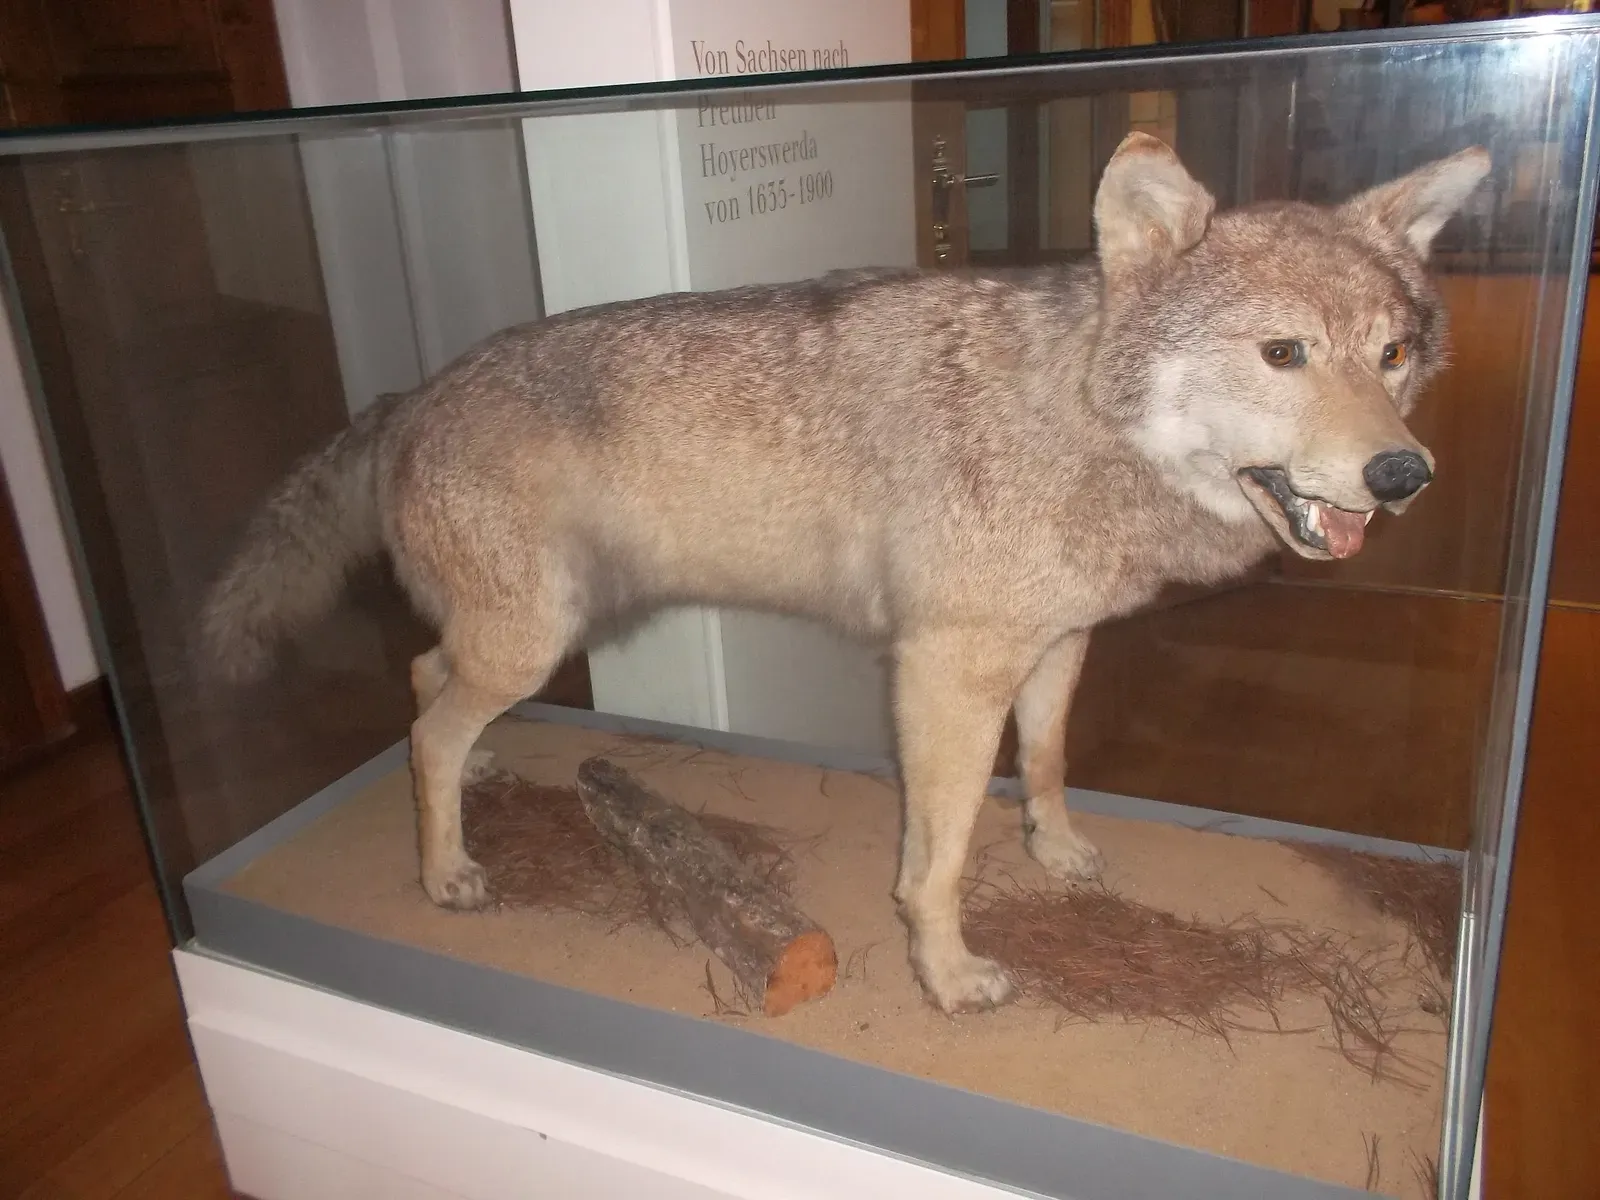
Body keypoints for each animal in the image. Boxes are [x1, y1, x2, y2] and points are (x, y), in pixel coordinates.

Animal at [198, 132, 1489, 1014]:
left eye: (1390, 354)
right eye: (1283, 353)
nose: (1404, 473)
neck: (1077, 414)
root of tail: (408, 395)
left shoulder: (1054, 646)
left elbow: (1048, 767)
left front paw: (1057, 855)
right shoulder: (945, 674)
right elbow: (942, 856)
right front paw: (948, 974)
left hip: (518, 640)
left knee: (424, 692)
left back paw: (473, 790)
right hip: (535, 639)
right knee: (423, 725)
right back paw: (446, 873)